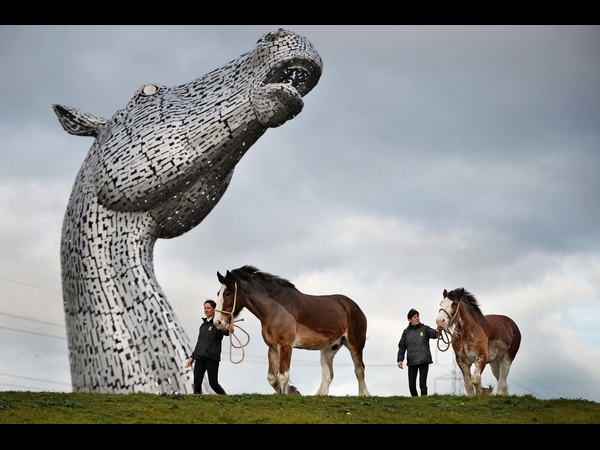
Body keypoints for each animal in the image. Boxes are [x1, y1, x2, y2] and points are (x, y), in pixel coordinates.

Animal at [216, 266, 370, 396]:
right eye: (218, 293)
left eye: (228, 293)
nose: (218, 322)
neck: (275, 309)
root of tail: (354, 307)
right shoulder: (273, 348)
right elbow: (272, 377)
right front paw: (292, 391)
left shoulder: (286, 345)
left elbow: (283, 376)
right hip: (330, 348)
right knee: (328, 374)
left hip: (355, 345)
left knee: (359, 369)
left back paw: (364, 395)